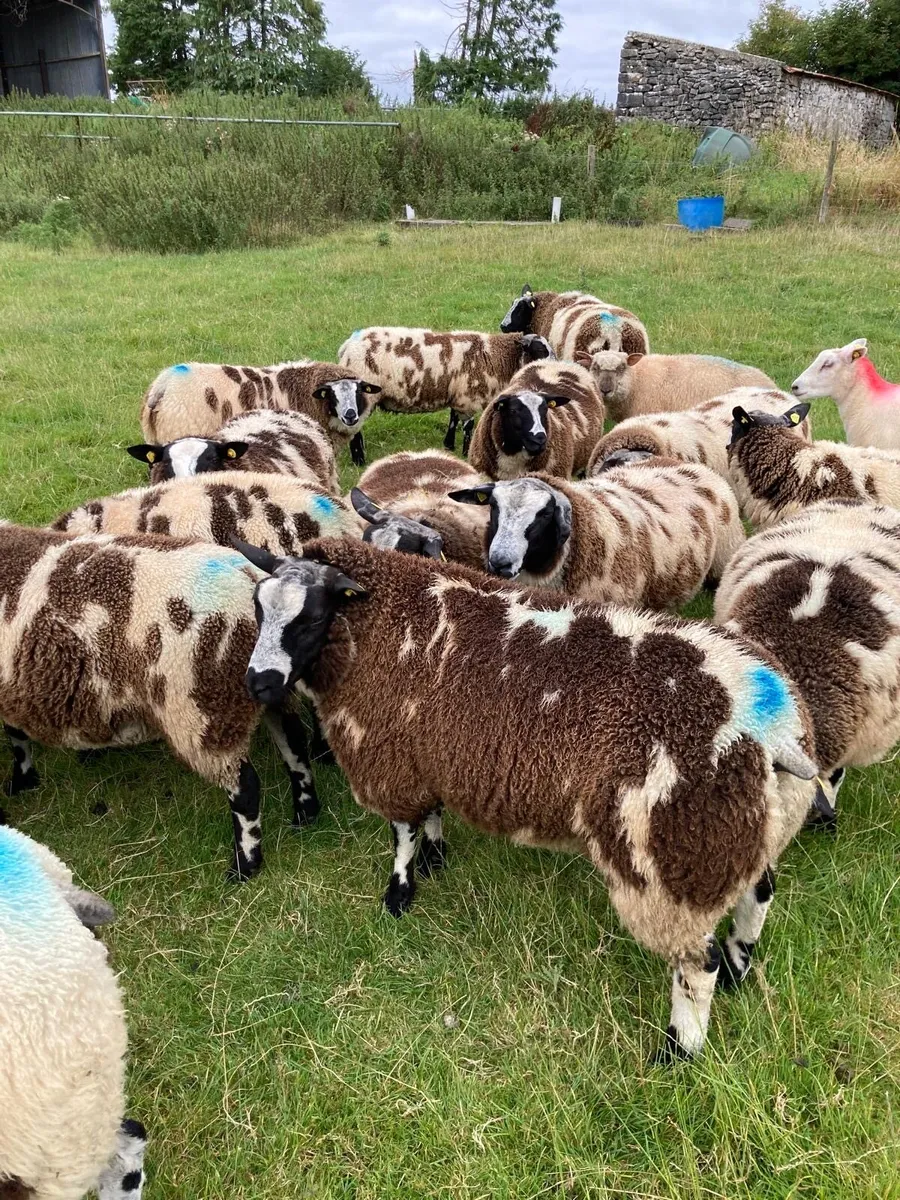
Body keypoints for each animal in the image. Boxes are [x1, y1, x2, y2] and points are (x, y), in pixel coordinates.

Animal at [0, 526, 332, 881]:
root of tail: (246, 582)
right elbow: (15, 732)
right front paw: (23, 779)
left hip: (203, 708)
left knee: (245, 788)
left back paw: (246, 865)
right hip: (268, 691)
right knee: (293, 745)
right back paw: (305, 813)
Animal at [232, 534, 818, 1060]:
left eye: (310, 618)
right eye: (258, 607)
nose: (258, 683)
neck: (382, 621)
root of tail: (770, 725)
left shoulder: (391, 759)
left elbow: (401, 832)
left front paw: (398, 894)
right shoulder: (431, 755)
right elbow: (431, 815)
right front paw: (436, 857)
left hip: (675, 861)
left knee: (698, 965)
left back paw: (679, 1049)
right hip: (748, 831)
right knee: (758, 896)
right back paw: (741, 969)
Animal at [337, 328, 554, 456]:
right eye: (540, 350)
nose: (556, 366)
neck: (494, 355)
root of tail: (347, 347)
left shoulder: (458, 395)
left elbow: (453, 419)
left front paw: (448, 445)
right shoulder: (469, 397)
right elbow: (468, 427)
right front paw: (466, 453)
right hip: (366, 392)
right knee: (354, 429)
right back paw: (359, 459)